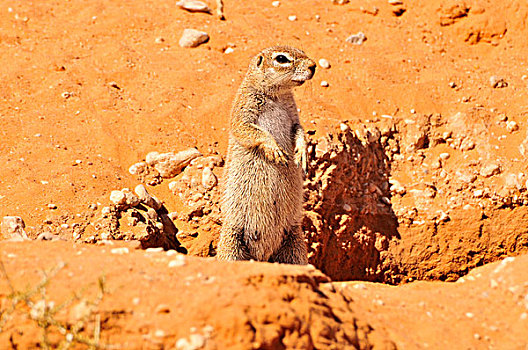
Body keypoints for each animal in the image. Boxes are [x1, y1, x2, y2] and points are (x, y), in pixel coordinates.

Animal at [217, 45, 316, 264]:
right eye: (281, 59)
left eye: (302, 51)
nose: (313, 66)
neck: (276, 97)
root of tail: (262, 255)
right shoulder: (244, 108)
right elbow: (246, 129)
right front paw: (275, 150)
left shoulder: (293, 114)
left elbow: (299, 129)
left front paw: (301, 153)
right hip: (231, 244)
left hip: (294, 244)